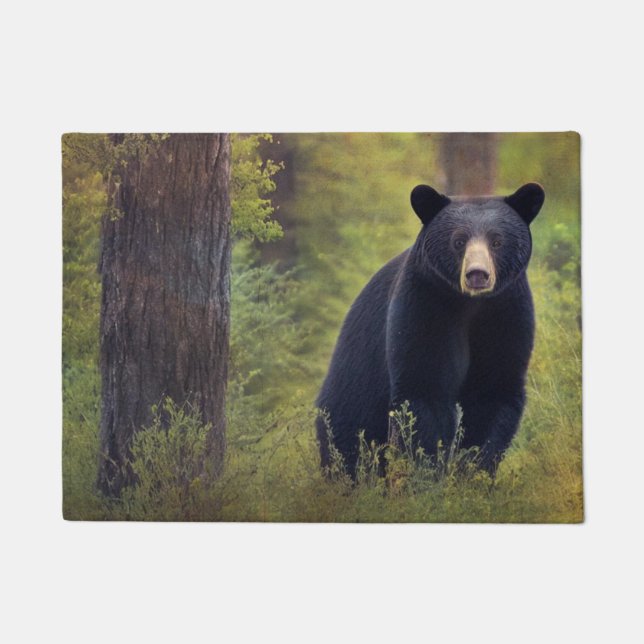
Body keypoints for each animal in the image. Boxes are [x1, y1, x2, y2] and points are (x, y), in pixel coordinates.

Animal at [315, 182, 545, 476]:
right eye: (458, 241)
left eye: (497, 241)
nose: (477, 274)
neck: (469, 304)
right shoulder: (425, 304)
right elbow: (425, 389)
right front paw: (426, 472)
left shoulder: (506, 312)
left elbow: (493, 390)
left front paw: (472, 471)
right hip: (357, 377)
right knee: (350, 437)